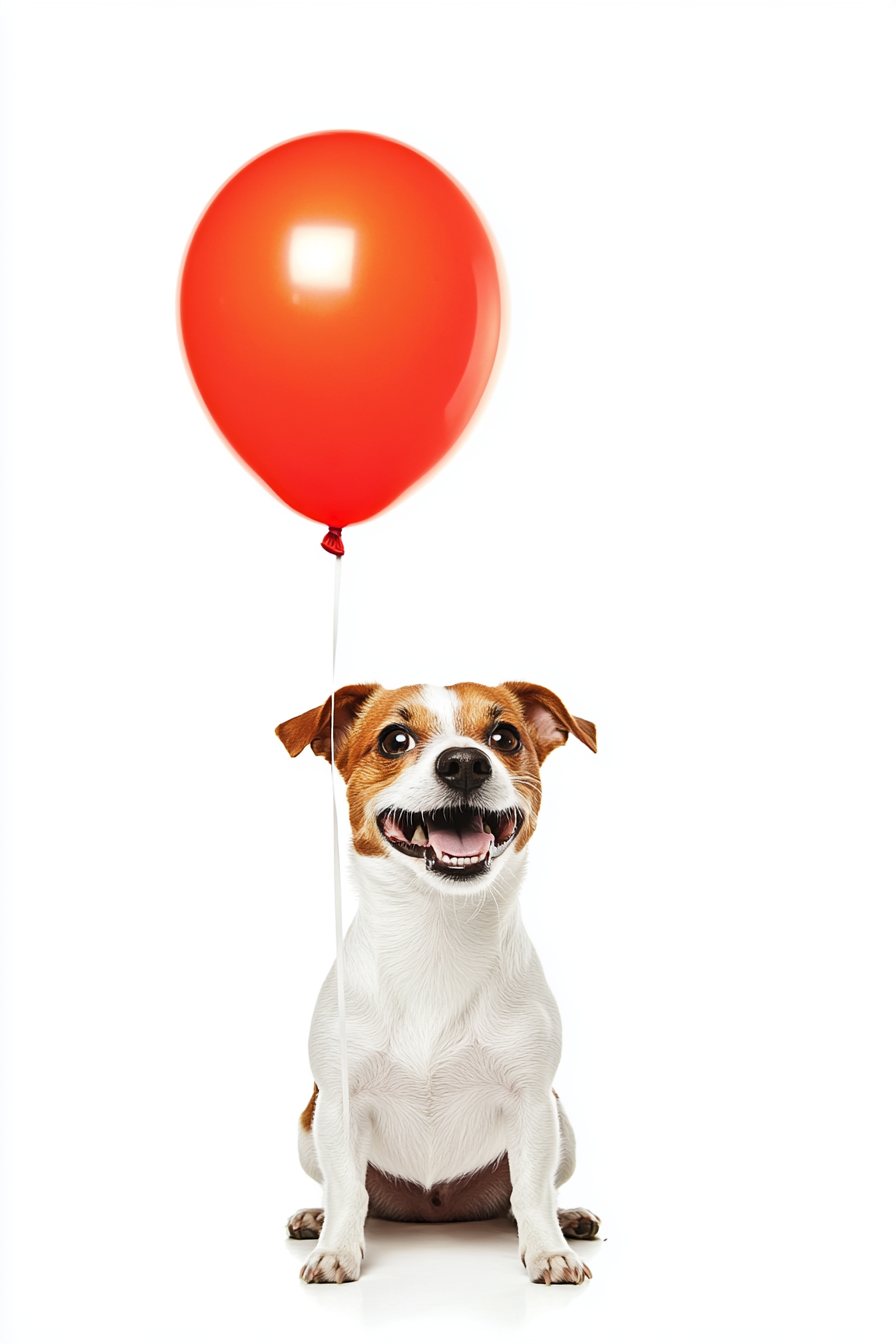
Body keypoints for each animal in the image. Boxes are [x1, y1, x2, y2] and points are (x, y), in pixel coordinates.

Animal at [278, 682, 601, 1279]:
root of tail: (435, 1210)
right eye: (394, 739)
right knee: (350, 1191)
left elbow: (533, 1191)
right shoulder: (339, 1103)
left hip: (561, 1123)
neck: (437, 930)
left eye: (504, 737)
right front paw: (336, 1249)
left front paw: (548, 1250)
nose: (465, 763)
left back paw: (567, 1219)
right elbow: (348, 1190)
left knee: (524, 1195)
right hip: (309, 1125)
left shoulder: (532, 1102)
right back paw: (317, 1216)